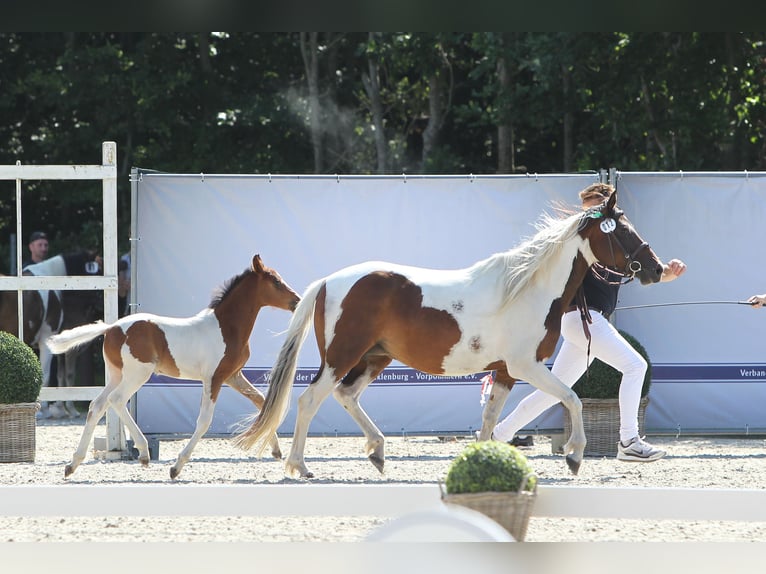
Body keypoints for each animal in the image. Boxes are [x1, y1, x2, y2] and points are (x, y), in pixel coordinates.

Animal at [47, 256, 300, 482]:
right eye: (276, 281)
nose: (297, 301)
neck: (226, 327)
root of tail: (112, 328)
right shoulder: (214, 378)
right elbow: (204, 420)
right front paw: (176, 467)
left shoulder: (233, 376)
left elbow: (261, 401)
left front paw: (276, 450)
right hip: (137, 374)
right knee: (116, 400)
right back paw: (143, 452)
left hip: (117, 375)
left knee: (97, 405)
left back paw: (73, 464)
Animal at [236, 191, 664, 480]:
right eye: (622, 232)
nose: (656, 268)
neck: (526, 290)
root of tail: (327, 282)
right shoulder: (526, 366)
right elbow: (572, 398)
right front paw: (574, 457)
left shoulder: (505, 372)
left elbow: (490, 420)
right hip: (342, 357)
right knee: (309, 400)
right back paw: (299, 466)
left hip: (375, 358)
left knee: (347, 396)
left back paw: (377, 452)